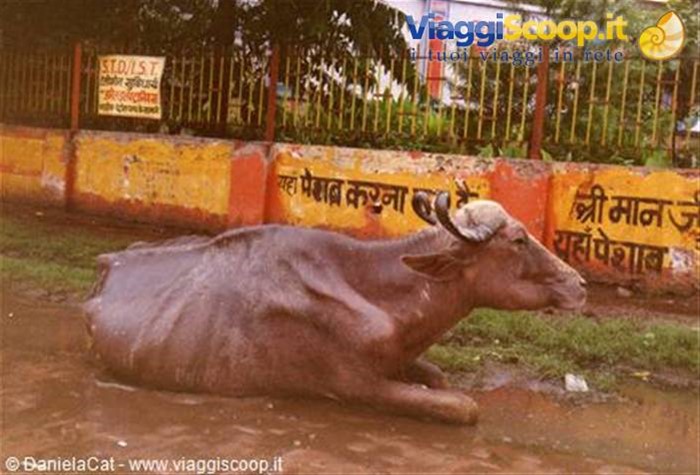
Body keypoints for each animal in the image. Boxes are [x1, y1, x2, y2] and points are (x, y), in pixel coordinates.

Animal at [84, 192, 586, 424]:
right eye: (518, 240)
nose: (579, 284)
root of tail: (109, 262)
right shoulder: (358, 385)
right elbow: (464, 407)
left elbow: (440, 377)